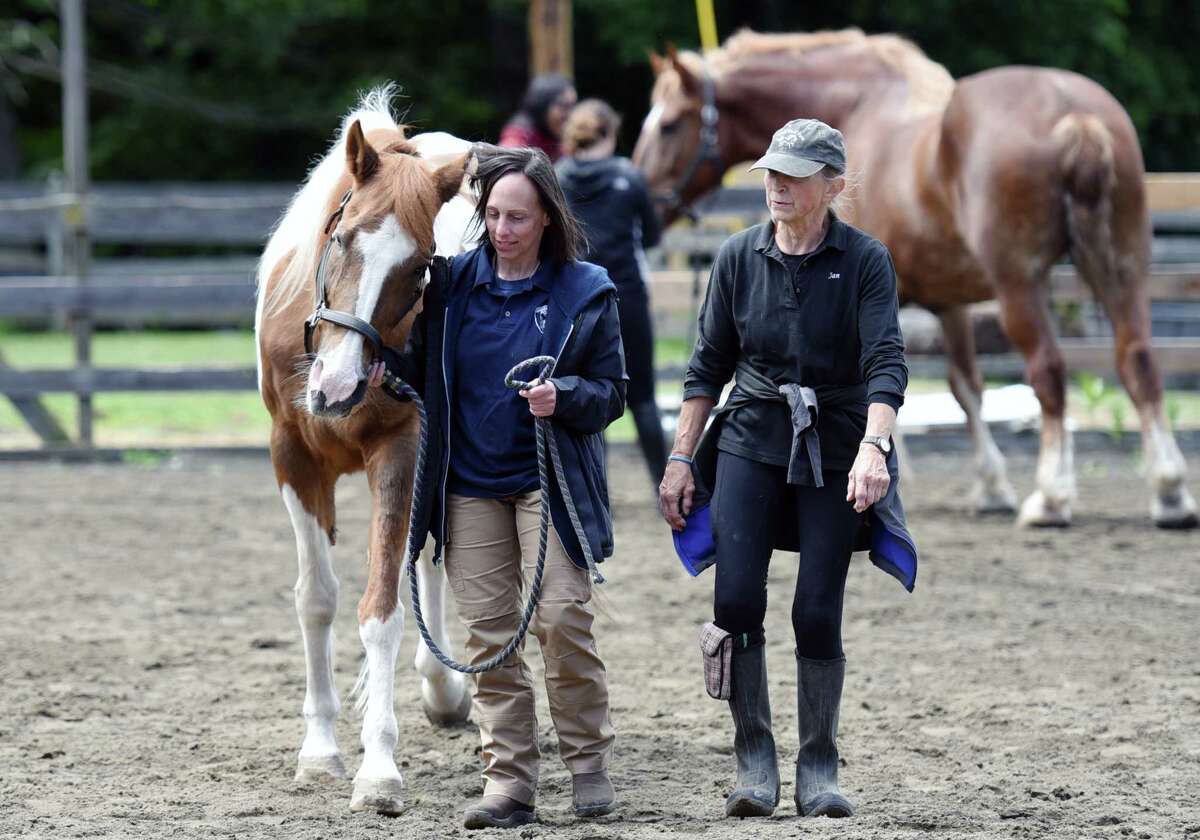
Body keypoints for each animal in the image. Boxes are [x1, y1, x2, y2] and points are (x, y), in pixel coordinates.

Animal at [255, 87, 476, 814]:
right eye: (343, 236)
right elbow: (316, 599)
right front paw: (319, 752)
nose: (337, 386)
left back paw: (445, 689)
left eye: (420, 266)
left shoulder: (401, 449)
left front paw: (378, 768)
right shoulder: (292, 455)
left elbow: (381, 608)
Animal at [632, 28, 1197, 529]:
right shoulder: (952, 303)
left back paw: (1052, 498)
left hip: (1021, 287)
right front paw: (991, 487)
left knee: (1049, 374)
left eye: (669, 125)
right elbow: (965, 386)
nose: (646, 201)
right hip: (1123, 270)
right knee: (1139, 363)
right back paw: (1170, 493)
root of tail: (1074, 113)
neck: (857, 102)